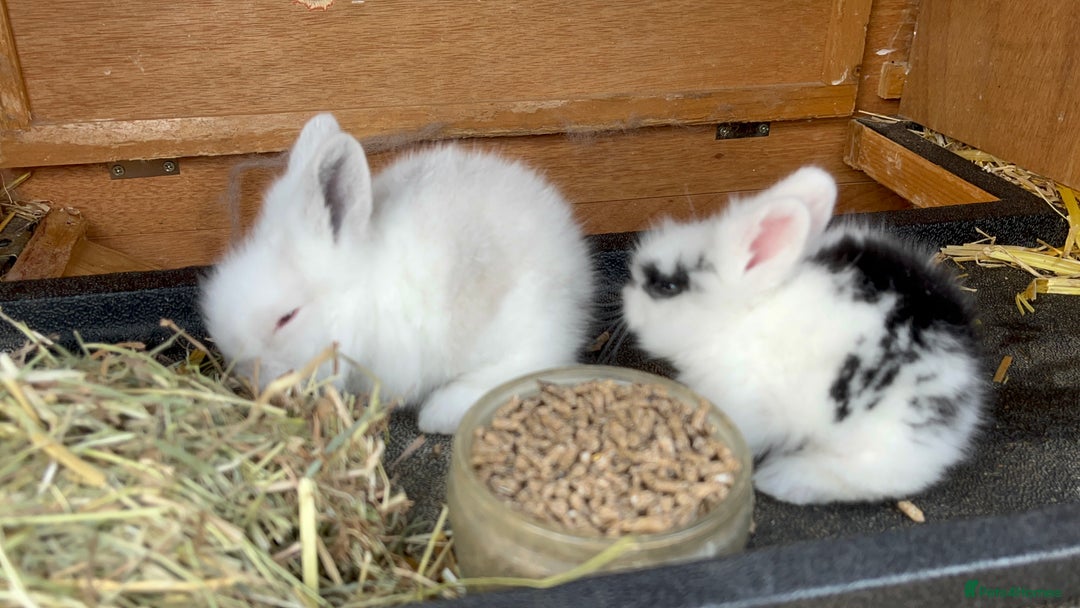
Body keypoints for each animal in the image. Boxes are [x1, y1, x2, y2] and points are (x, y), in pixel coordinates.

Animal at [200, 113, 594, 434]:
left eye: (287, 317)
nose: (247, 374)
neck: (366, 295)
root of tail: (574, 258)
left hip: (523, 325)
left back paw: (439, 413)